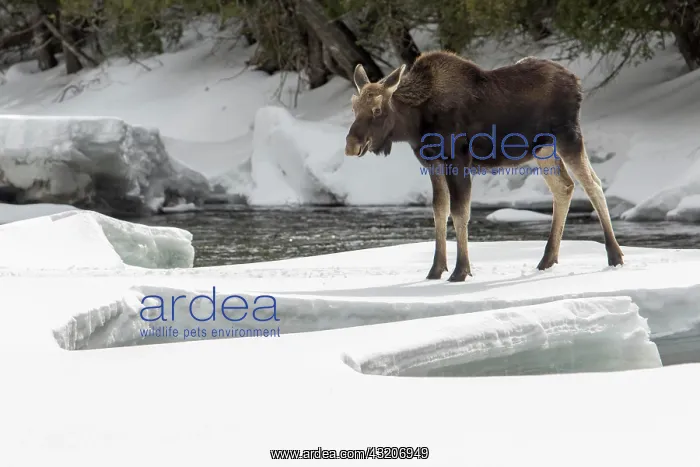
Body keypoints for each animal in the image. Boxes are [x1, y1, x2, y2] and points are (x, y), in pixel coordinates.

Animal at [345, 51, 624, 282]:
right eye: (354, 106)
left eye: (377, 109)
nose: (351, 145)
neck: (414, 124)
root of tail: (577, 83)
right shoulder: (432, 161)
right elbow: (439, 210)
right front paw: (436, 270)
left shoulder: (457, 159)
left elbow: (460, 212)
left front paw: (461, 271)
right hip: (543, 148)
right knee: (564, 187)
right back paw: (547, 260)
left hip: (568, 136)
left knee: (592, 183)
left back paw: (615, 255)